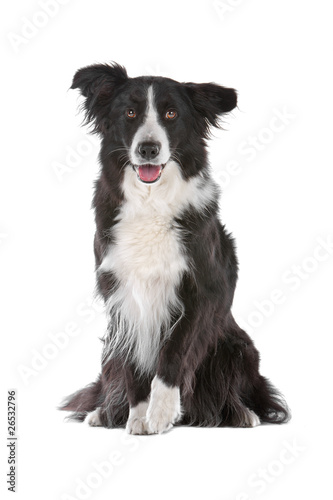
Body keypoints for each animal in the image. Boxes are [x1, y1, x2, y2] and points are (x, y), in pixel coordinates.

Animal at [61, 63, 290, 434]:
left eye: (171, 114)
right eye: (130, 113)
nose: (148, 149)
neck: (151, 201)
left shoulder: (201, 290)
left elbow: (174, 352)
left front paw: (161, 412)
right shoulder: (122, 295)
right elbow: (134, 364)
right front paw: (138, 415)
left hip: (238, 347)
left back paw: (242, 413)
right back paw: (106, 412)